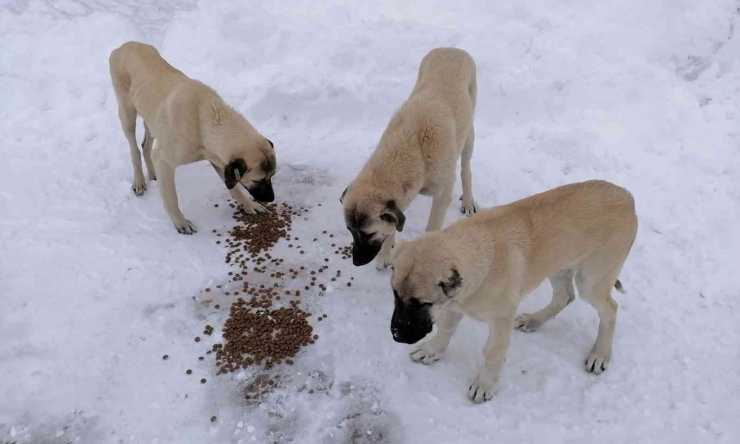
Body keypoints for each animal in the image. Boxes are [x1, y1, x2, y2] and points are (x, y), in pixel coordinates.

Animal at [107, 41, 274, 234]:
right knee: (134, 149)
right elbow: (171, 198)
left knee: (146, 146)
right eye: (258, 180)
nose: (271, 199)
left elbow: (235, 189)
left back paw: (152, 173)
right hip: (127, 114)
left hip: (151, 119)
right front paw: (180, 222)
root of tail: (124, 46)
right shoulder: (165, 161)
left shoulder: (218, 160)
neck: (205, 119)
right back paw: (140, 181)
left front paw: (248, 204)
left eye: (273, 175)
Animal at [342, 46, 480, 268]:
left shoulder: (442, 195)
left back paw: (467, 201)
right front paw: (386, 254)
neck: (413, 151)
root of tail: (452, 49)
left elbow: (431, 227)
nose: (355, 262)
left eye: (368, 234)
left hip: (468, 134)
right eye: (350, 231)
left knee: (465, 169)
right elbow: (392, 226)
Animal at [390, 180, 640, 402]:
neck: (482, 256)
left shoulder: (501, 317)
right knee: (565, 296)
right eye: (394, 294)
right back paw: (533, 321)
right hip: (558, 266)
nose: (396, 335)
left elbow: (493, 351)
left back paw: (600, 354)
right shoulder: (453, 303)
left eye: (422, 303)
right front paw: (432, 349)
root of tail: (628, 197)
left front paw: (485, 384)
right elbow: (446, 329)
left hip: (591, 280)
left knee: (610, 309)